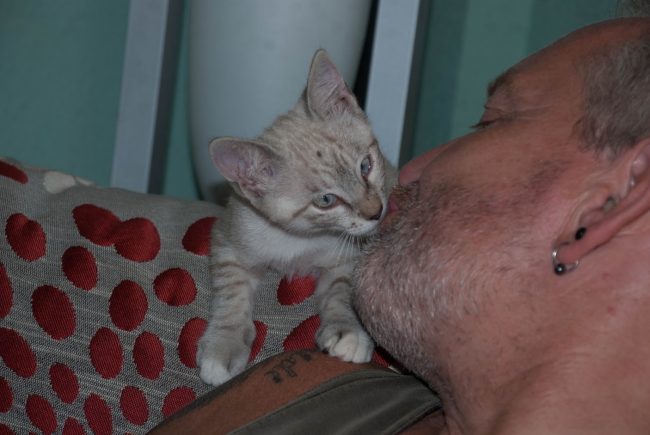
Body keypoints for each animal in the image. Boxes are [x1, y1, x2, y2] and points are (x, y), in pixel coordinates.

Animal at [197, 49, 396, 386]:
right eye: (326, 201)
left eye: (366, 166)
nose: (376, 212)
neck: (300, 239)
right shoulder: (226, 238)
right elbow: (231, 293)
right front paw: (223, 344)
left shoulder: (348, 257)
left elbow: (342, 291)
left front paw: (346, 330)